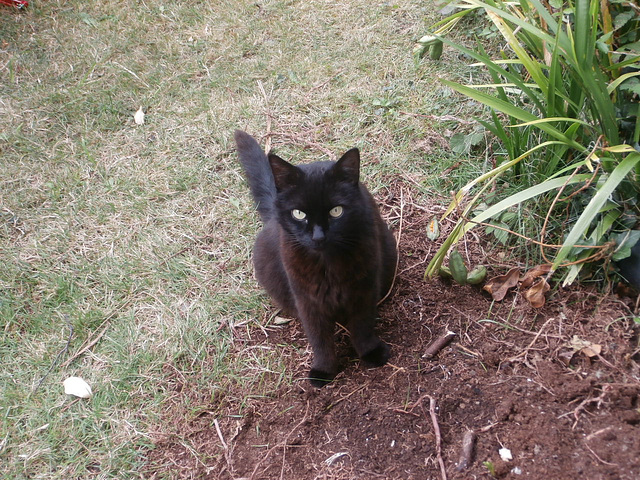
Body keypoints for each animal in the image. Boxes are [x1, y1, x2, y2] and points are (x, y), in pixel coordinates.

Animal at [232, 130, 398, 386]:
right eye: (299, 214)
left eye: (336, 211)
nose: (318, 236)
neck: (327, 265)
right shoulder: (307, 299)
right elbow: (318, 337)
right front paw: (324, 370)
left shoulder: (364, 288)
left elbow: (363, 325)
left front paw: (370, 352)